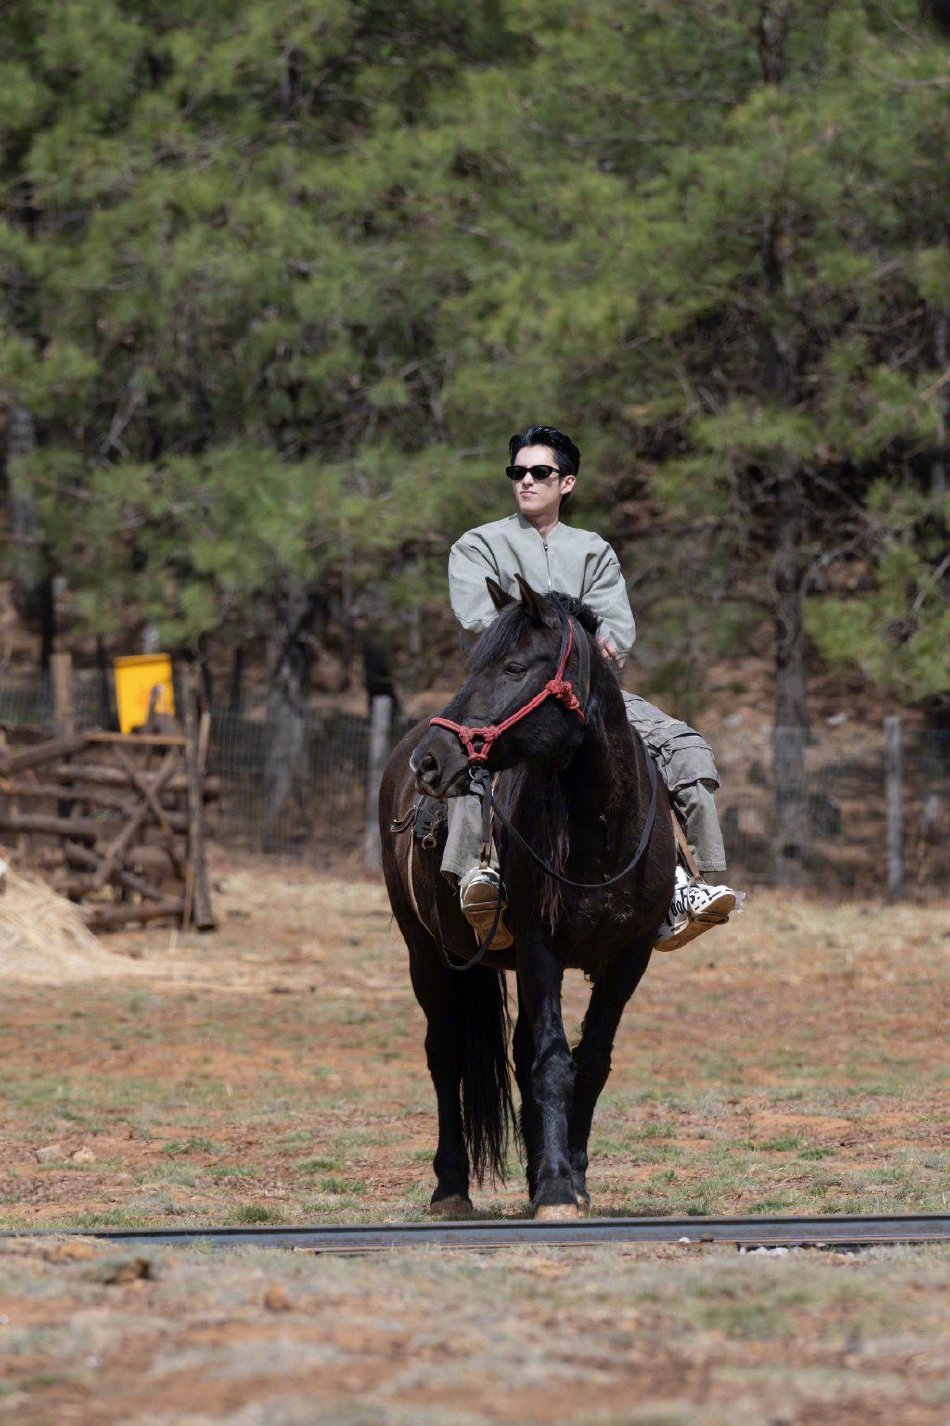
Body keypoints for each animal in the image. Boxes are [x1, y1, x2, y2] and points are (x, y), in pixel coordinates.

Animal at [376, 573, 673, 1220]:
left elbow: (589, 1061)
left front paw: (569, 1179)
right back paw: (451, 1187)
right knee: (447, 1056)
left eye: (514, 666)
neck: (598, 826)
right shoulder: (541, 947)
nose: (431, 760)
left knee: (516, 1052)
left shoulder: (629, 957)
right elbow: (553, 1062)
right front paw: (558, 1188)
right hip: (426, 955)